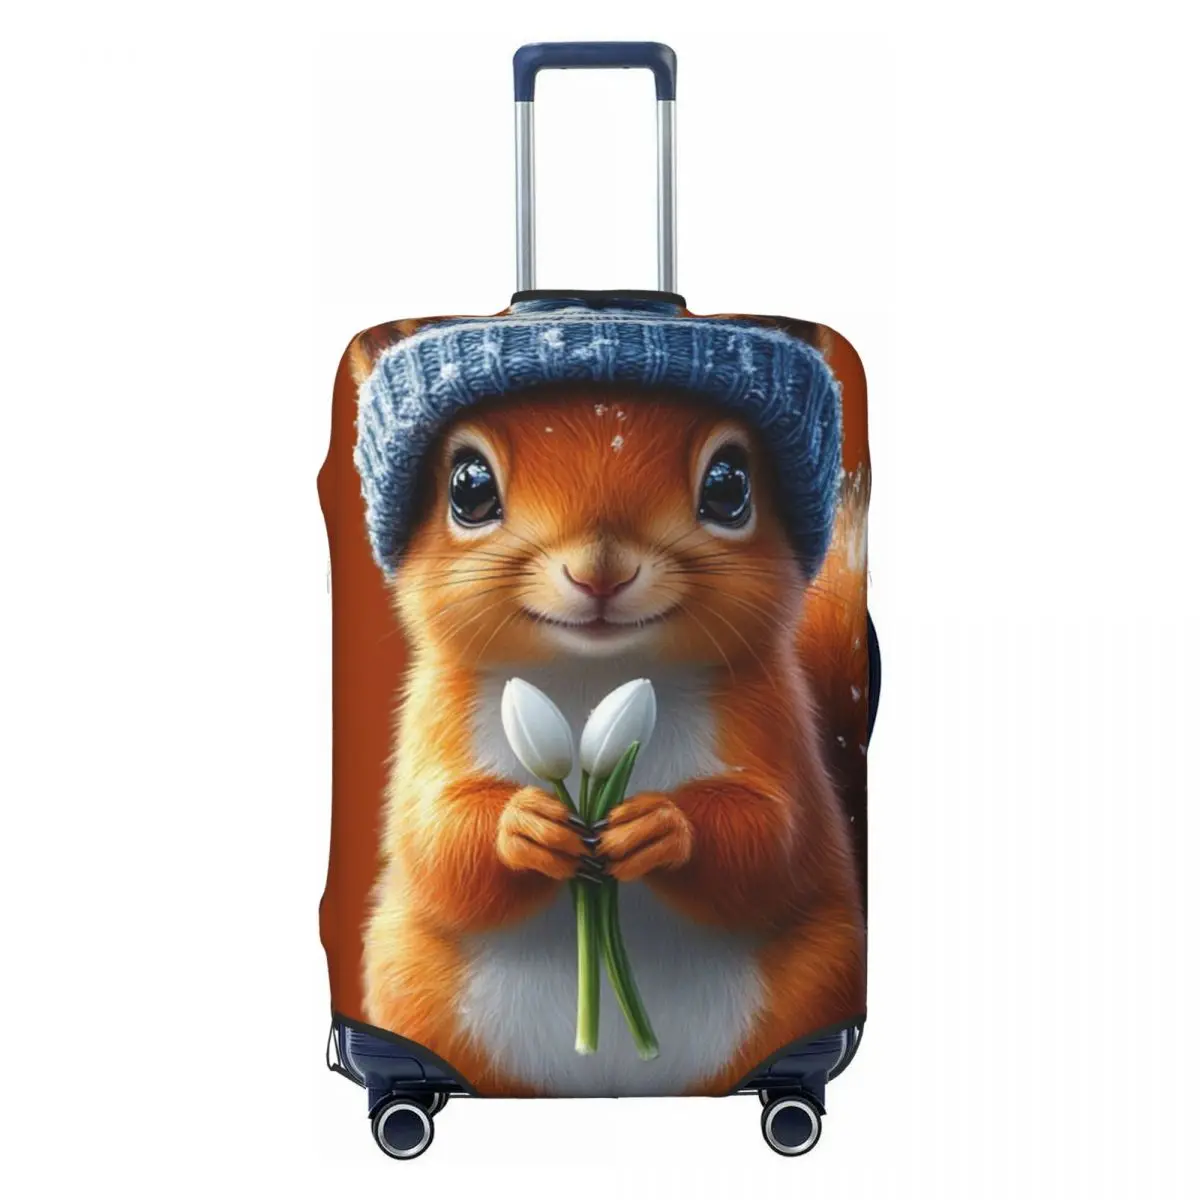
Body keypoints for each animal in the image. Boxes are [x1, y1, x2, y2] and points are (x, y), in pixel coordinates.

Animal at [352, 359, 867, 1098]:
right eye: (469, 488)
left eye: (729, 485)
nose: (600, 571)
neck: (595, 679)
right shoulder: (438, 715)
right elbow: (433, 838)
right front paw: (521, 826)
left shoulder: (771, 717)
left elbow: (775, 836)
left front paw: (665, 827)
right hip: (418, 988)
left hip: (818, 976)